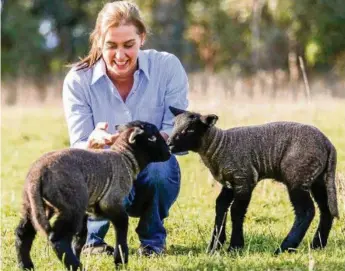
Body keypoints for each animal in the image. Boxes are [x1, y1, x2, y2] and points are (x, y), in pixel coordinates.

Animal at [15, 121, 171, 271]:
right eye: (152, 137)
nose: (169, 152)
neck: (125, 158)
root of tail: (37, 174)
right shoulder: (112, 204)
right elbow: (121, 237)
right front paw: (120, 263)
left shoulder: (86, 211)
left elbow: (80, 239)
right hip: (71, 205)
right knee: (58, 239)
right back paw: (77, 267)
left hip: (34, 205)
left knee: (23, 233)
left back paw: (26, 266)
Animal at [168, 107, 338, 256]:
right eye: (173, 125)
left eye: (190, 130)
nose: (169, 144)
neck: (219, 146)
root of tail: (328, 144)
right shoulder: (229, 183)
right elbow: (220, 207)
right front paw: (214, 246)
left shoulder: (244, 178)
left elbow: (236, 211)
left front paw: (235, 247)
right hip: (318, 178)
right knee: (326, 209)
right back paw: (317, 245)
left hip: (298, 175)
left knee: (306, 211)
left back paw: (285, 248)